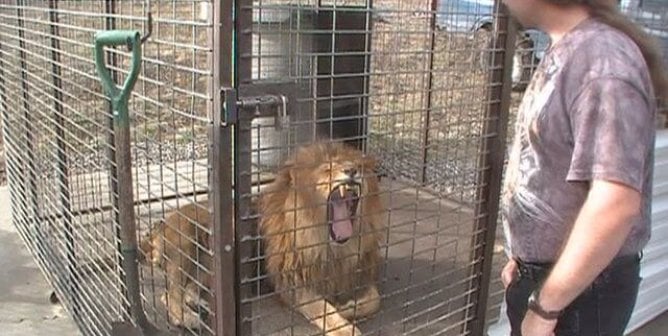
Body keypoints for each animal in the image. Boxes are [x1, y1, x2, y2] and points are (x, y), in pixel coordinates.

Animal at [260, 142, 386, 336]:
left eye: (358, 166)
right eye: (328, 169)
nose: (351, 170)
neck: (335, 251)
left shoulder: (361, 275)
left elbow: (374, 300)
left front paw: (346, 308)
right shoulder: (291, 283)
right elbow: (322, 308)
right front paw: (345, 329)